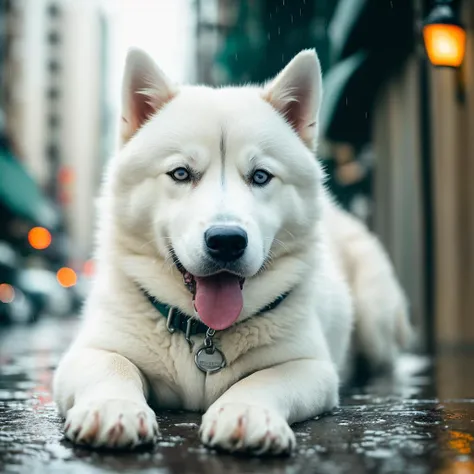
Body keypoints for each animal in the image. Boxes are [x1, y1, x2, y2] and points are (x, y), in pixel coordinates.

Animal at [53, 48, 412, 456]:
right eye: (181, 173)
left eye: (260, 176)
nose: (226, 240)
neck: (203, 333)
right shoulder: (89, 351)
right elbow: (113, 366)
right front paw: (113, 407)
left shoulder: (311, 366)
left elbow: (264, 379)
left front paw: (246, 411)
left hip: (375, 316)